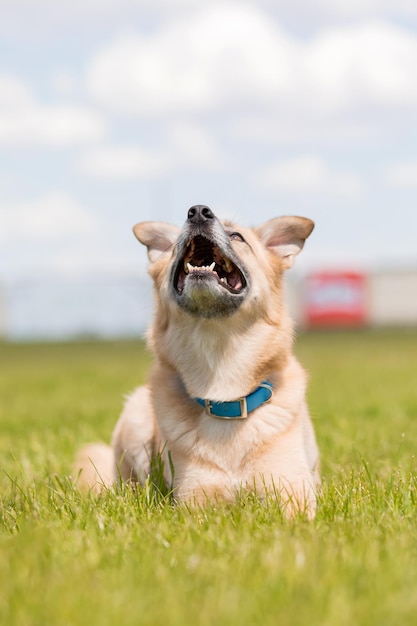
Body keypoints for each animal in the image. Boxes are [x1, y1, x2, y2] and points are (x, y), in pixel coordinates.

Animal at [75, 205, 318, 516]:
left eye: (237, 236)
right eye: (174, 243)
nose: (199, 211)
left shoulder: (293, 490)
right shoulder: (195, 496)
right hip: (135, 417)